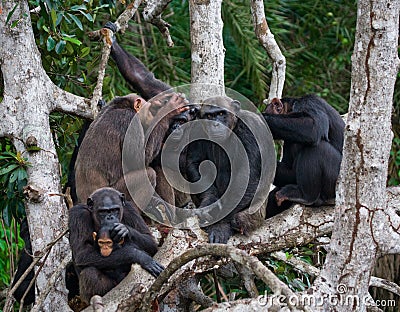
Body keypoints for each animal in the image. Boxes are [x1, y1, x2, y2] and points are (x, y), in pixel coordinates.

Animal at [186, 96, 276, 243]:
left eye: (221, 113)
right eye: (209, 116)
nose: (215, 124)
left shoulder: (250, 129)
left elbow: (248, 175)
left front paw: (220, 227)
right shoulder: (196, 127)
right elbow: (194, 162)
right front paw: (208, 204)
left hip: (258, 215)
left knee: (239, 218)